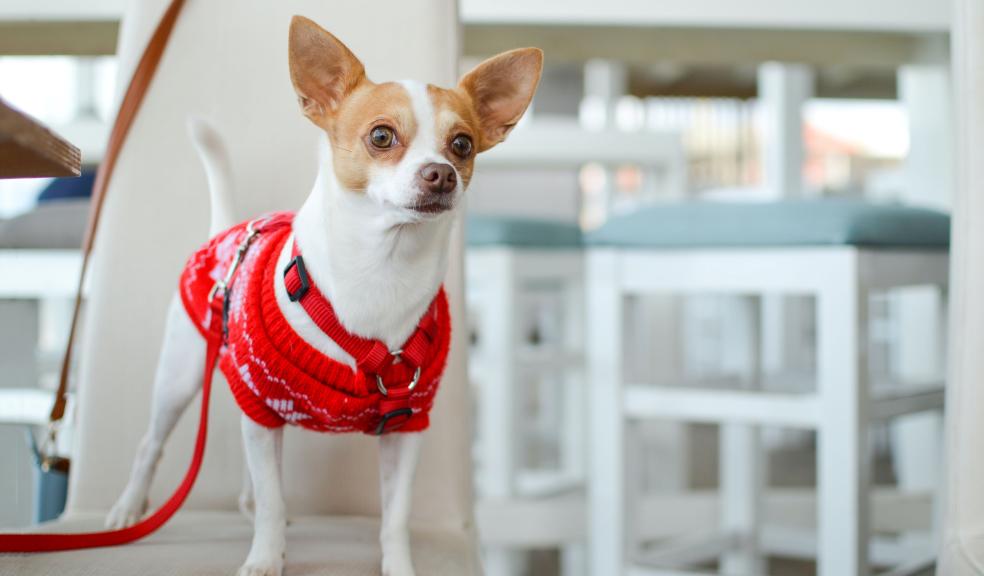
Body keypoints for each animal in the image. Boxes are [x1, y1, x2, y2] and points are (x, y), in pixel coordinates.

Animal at [106, 12, 540, 576]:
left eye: (462, 145)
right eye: (382, 135)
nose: (441, 174)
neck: (382, 269)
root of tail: (228, 231)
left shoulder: (405, 429)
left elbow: (394, 515)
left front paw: (398, 566)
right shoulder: (258, 403)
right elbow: (274, 498)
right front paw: (265, 559)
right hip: (179, 379)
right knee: (150, 445)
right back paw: (128, 508)